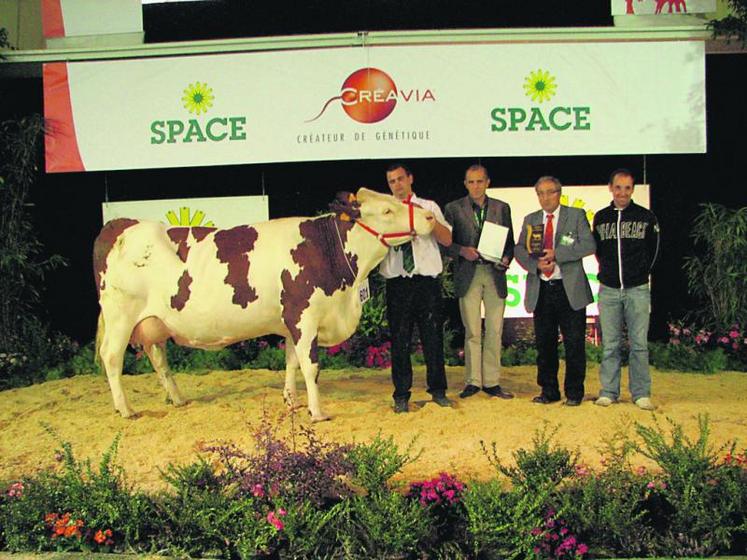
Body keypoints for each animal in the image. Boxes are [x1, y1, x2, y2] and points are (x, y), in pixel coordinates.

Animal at [92, 188, 438, 420]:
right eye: (387, 210)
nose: (430, 217)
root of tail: (122, 224)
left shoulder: (291, 321)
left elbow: (291, 362)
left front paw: (291, 401)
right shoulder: (303, 316)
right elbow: (311, 366)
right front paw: (317, 412)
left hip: (153, 322)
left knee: (158, 357)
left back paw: (178, 399)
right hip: (121, 316)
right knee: (112, 357)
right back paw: (126, 409)